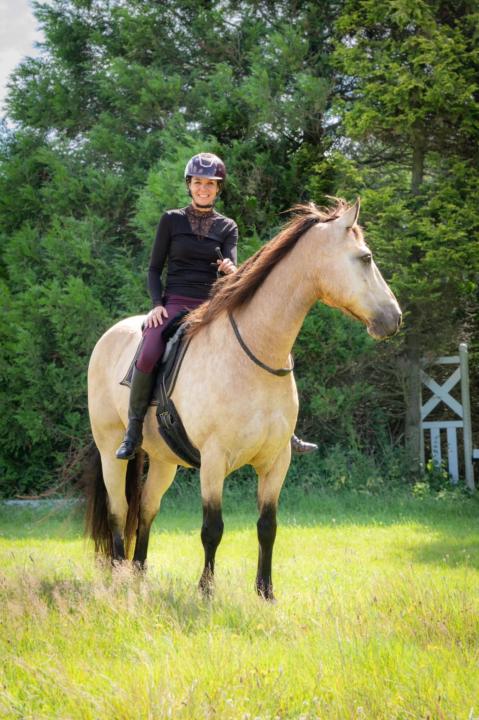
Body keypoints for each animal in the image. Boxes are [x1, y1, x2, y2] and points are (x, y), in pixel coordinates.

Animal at [85, 198, 401, 600]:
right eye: (365, 257)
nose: (394, 318)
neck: (255, 351)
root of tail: (108, 337)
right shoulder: (214, 460)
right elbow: (212, 529)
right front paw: (206, 591)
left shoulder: (276, 462)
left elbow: (267, 527)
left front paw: (266, 592)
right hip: (111, 448)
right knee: (119, 509)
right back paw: (120, 577)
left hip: (163, 460)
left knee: (145, 509)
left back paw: (139, 575)